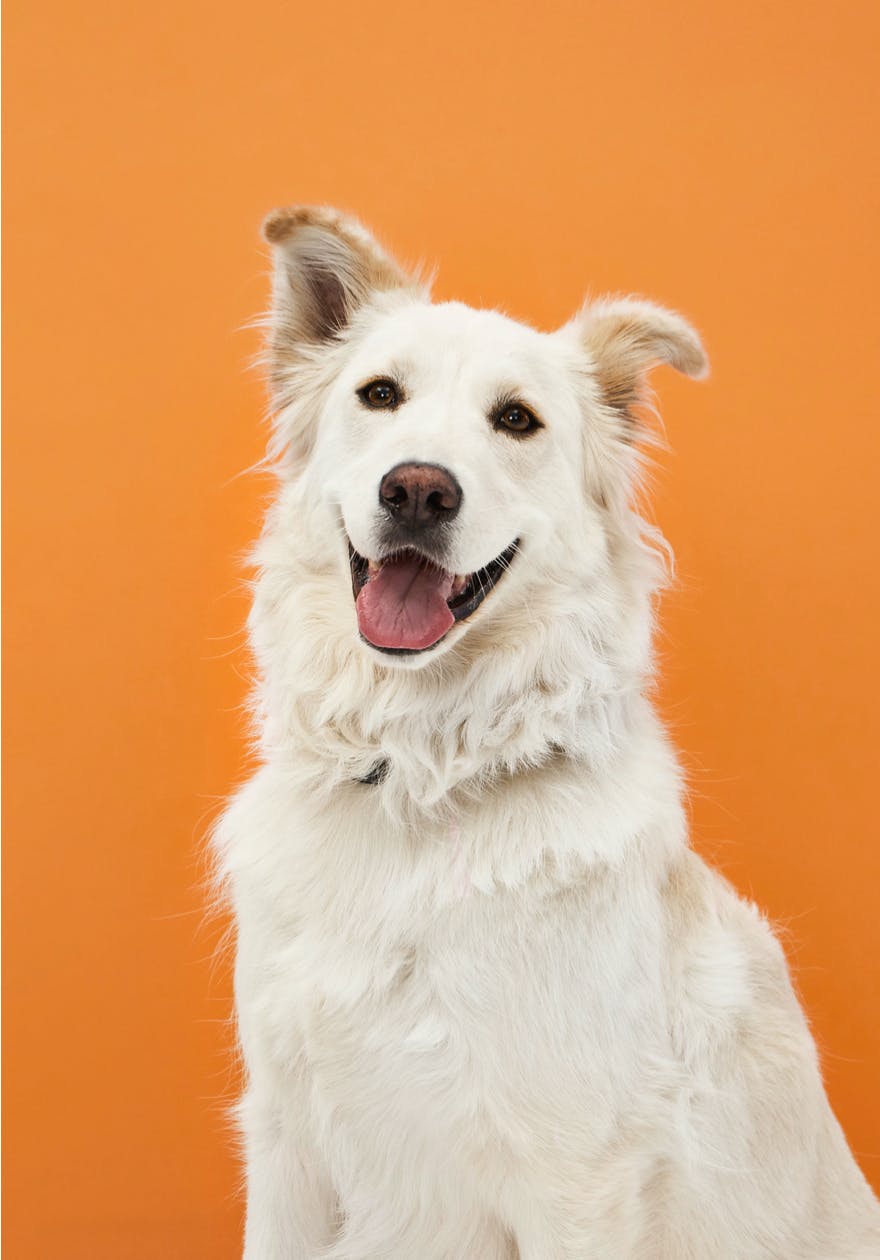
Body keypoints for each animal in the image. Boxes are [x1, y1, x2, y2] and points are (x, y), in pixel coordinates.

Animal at [214, 209, 877, 1260]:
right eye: (380, 395)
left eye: (516, 420)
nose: (417, 491)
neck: (420, 779)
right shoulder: (286, 1145)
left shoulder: (576, 1180)